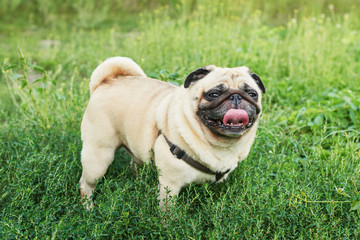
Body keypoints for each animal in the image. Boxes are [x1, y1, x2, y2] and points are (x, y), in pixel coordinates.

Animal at [79, 56, 264, 208]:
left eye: (252, 94)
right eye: (214, 94)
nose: (236, 97)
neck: (220, 144)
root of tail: (105, 82)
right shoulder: (170, 184)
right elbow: (168, 213)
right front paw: (169, 226)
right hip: (98, 157)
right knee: (86, 184)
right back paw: (88, 209)